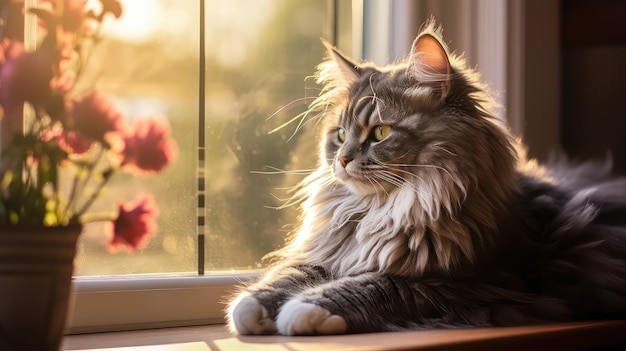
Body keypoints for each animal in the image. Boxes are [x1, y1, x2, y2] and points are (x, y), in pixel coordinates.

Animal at [224, 22, 624, 338]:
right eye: (340, 134)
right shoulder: (333, 252)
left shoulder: (464, 283)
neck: (381, 211)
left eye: (380, 132)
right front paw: (251, 307)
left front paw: (305, 309)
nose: (342, 159)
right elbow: (289, 275)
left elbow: (375, 285)